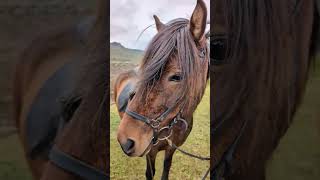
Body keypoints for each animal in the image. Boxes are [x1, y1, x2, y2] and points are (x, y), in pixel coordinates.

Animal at [114, 0, 210, 179]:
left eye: (176, 77)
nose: (126, 141)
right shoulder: (150, 151)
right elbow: (150, 173)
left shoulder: (171, 149)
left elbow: (166, 169)